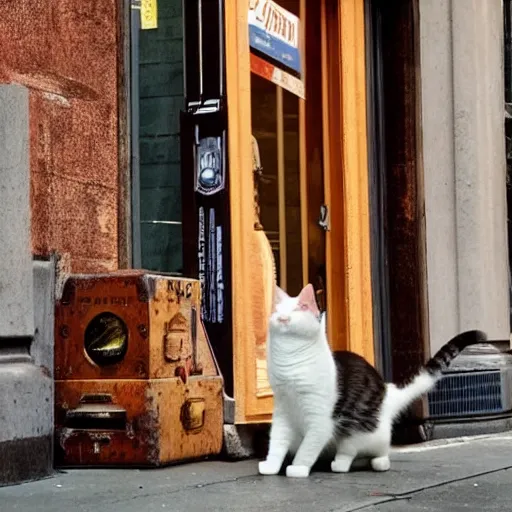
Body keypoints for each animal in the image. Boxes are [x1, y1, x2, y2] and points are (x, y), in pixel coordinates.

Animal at [260, 286, 488, 478]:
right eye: (276, 310)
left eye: (300, 309)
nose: (282, 318)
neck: (290, 363)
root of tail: (388, 392)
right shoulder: (282, 411)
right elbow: (277, 442)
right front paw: (271, 466)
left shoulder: (320, 420)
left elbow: (308, 447)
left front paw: (298, 468)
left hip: (360, 431)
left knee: (360, 451)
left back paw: (349, 463)